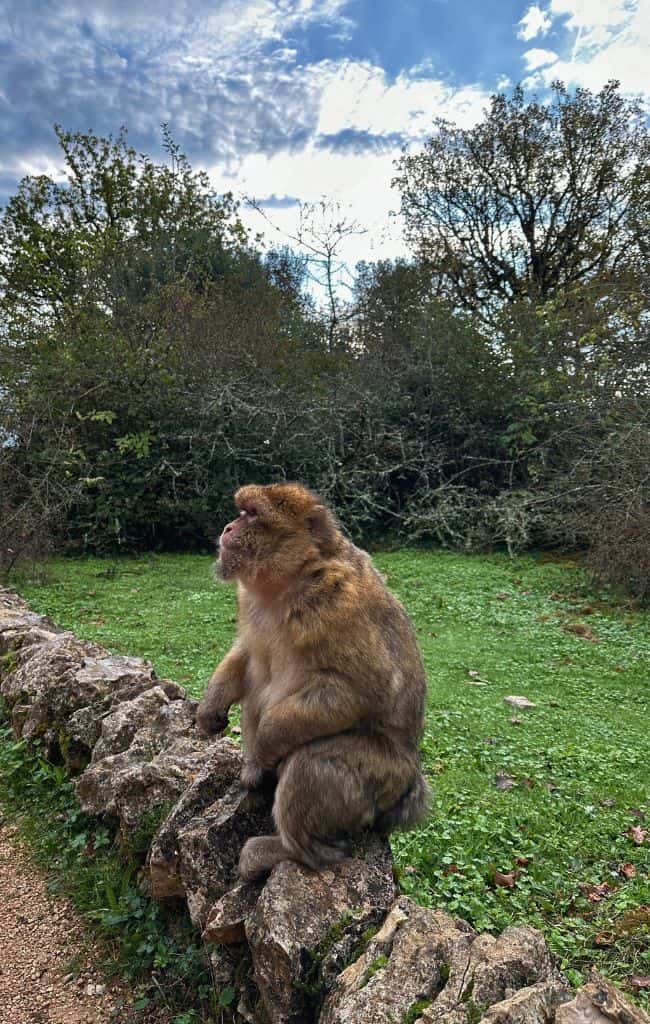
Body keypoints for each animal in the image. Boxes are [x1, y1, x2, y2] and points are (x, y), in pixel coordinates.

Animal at [196, 482, 429, 879]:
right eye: (241, 512)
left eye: (252, 515)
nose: (227, 527)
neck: (291, 581)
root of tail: (408, 783)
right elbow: (247, 654)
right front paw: (211, 706)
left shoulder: (336, 604)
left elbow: (362, 689)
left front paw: (265, 741)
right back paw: (254, 775)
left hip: (381, 781)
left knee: (311, 762)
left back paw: (287, 851)